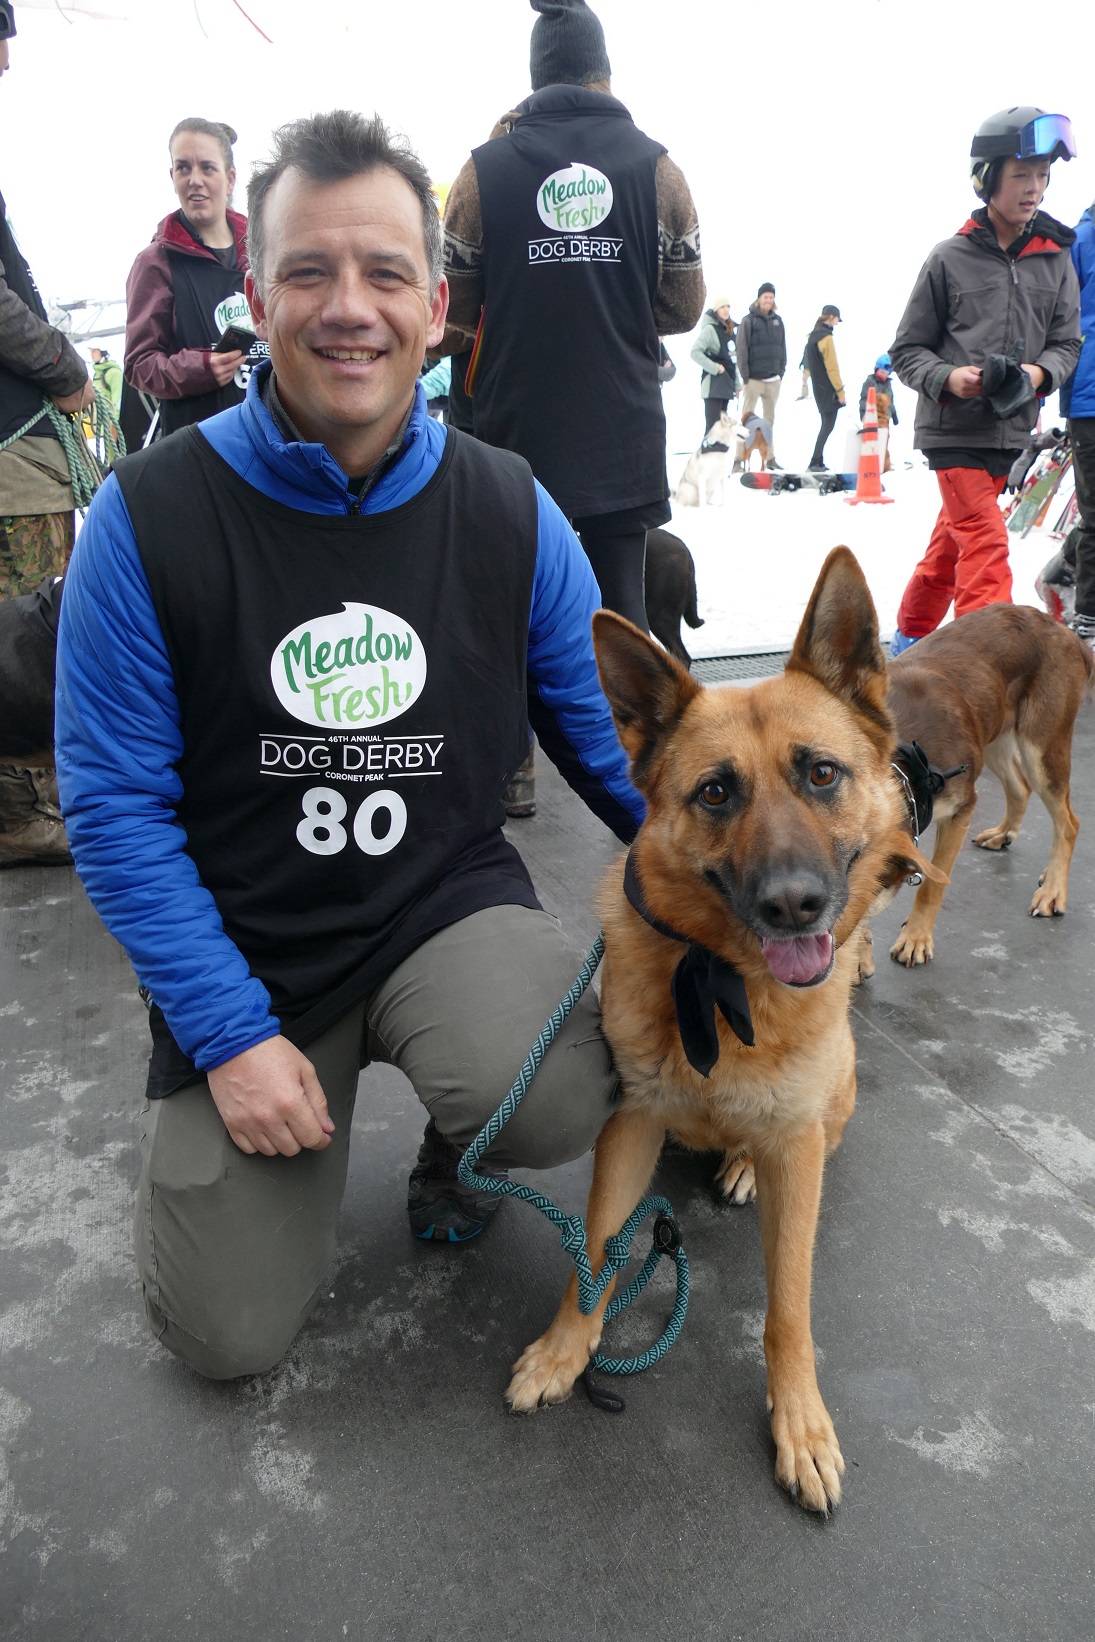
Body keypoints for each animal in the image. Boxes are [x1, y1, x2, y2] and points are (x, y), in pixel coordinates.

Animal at [508, 545, 939, 1504]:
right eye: (714, 793)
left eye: (820, 773)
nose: (793, 905)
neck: (724, 982)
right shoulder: (629, 1125)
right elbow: (597, 1250)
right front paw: (565, 1350)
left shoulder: (797, 1165)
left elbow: (788, 1308)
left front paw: (799, 1421)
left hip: (826, 1111)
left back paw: (741, 1165)